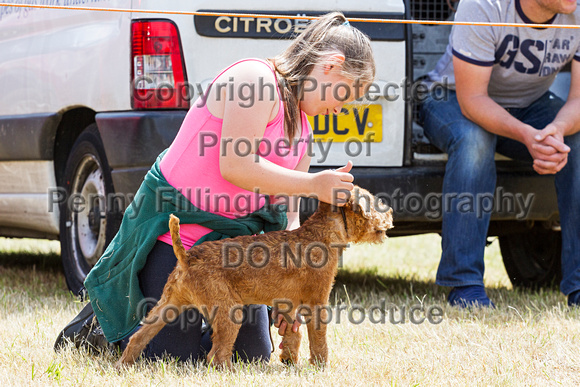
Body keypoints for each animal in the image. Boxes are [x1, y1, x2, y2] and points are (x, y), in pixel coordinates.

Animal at [115, 187, 392, 370]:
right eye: (375, 202)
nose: (390, 213)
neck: (323, 233)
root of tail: (187, 257)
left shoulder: (287, 304)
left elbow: (293, 337)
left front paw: (290, 361)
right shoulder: (317, 301)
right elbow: (318, 339)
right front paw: (321, 366)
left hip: (167, 306)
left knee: (138, 338)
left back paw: (123, 365)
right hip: (229, 312)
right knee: (216, 355)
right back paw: (230, 372)